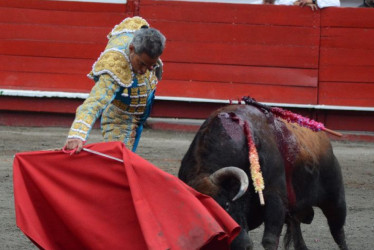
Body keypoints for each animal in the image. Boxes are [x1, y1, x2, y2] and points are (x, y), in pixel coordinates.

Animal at [178, 102, 348, 249]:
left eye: (226, 205)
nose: (243, 245)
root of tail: (324, 138)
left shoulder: (275, 196)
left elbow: (270, 240)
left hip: (335, 199)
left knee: (338, 231)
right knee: (298, 234)